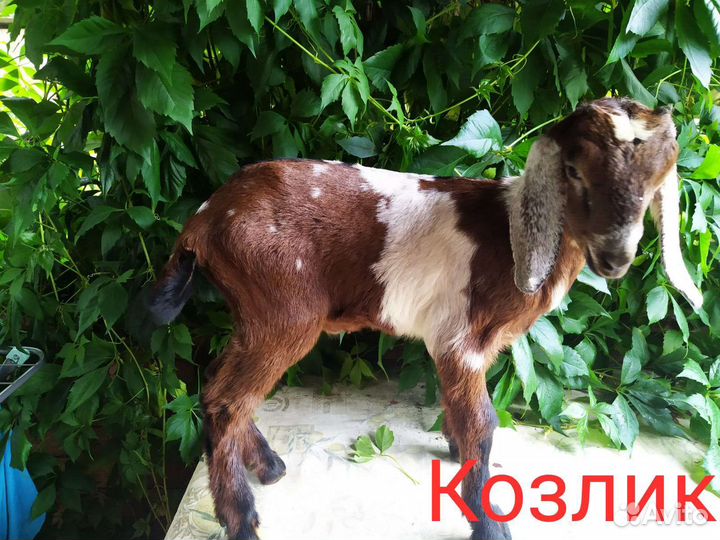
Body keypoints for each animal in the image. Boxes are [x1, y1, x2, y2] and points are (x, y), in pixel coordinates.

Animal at [148, 97, 702, 540]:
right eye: (574, 170)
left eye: (655, 180)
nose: (615, 258)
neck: (511, 234)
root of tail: (203, 221)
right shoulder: (462, 341)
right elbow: (483, 422)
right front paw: (490, 524)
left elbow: (460, 412)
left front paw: (455, 453)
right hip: (283, 314)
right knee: (225, 400)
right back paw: (242, 519)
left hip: (254, 316)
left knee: (219, 386)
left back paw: (268, 465)